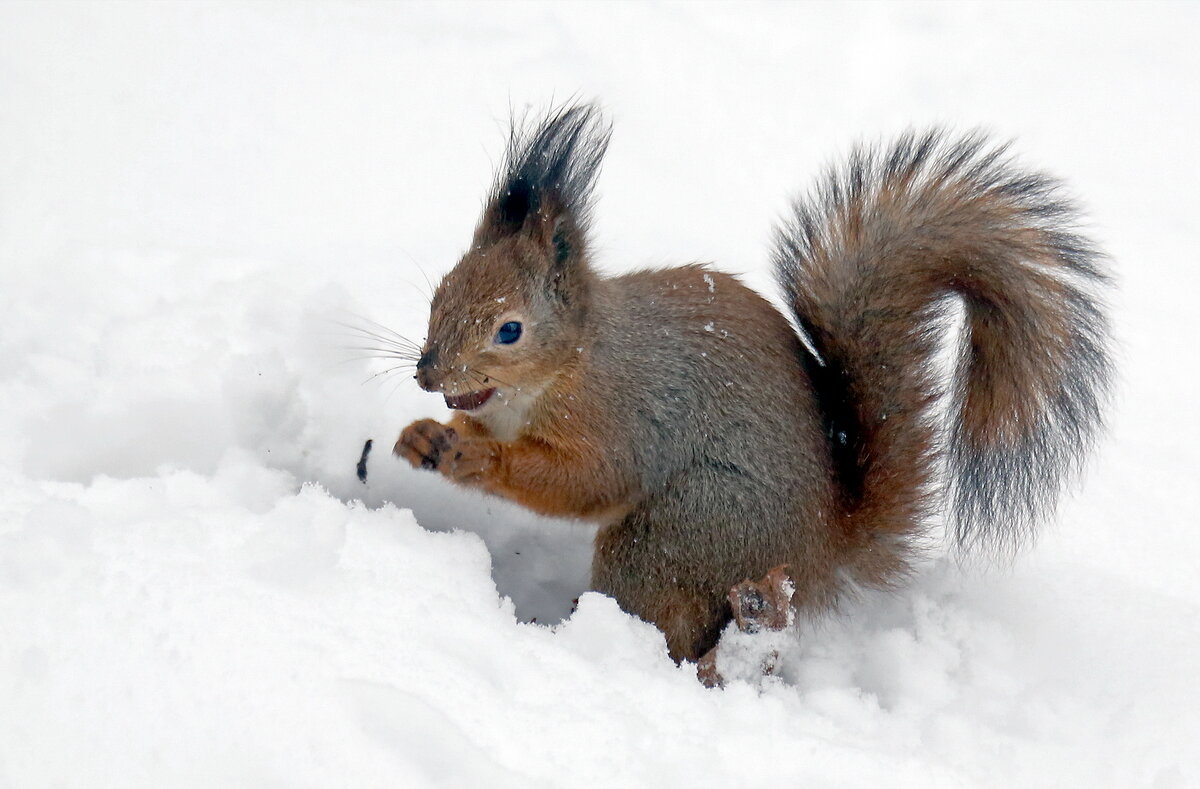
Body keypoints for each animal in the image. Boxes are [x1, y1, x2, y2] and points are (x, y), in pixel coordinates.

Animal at [393, 101, 1113, 661]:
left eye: (509, 329)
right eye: (440, 294)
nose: (428, 372)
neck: (562, 370)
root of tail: (822, 553)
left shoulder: (623, 414)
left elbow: (585, 480)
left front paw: (478, 456)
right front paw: (424, 437)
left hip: (689, 527)